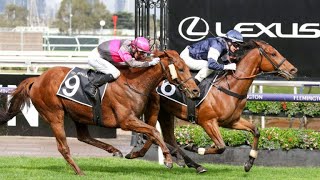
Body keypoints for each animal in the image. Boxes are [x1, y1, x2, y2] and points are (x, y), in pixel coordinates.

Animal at [0, 49, 200, 176]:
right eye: (180, 69)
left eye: (187, 68)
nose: (196, 91)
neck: (134, 83)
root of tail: (37, 79)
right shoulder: (126, 121)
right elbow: (154, 132)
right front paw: (168, 160)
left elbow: (152, 133)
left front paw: (136, 154)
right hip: (54, 114)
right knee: (63, 147)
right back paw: (79, 171)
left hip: (78, 114)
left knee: (83, 137)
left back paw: (115, 150)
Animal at [125, 39, 298, 173]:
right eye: (273, 53)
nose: (293, 69)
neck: (229, 87)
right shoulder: (207, 122)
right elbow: (221, 146)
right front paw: (194, 147)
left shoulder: (232, 121)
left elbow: (255, 131)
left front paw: (249, 163)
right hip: (154, 109)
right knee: (150, 135)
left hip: (166, 113)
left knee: (167, 137)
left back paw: (190, 163)